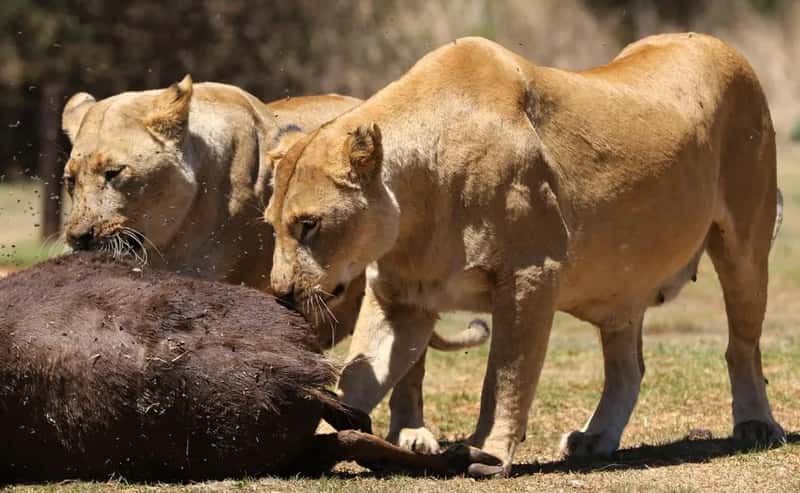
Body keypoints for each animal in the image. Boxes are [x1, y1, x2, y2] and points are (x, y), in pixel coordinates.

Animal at [266, 34, 785, 477]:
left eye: (309, 225)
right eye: (272, 225)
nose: (281, 293)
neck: (415, 205)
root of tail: (720, 44)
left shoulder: (530, 275)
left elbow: (506, 376)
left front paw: (490, 452)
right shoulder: (402, 300)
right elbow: (361, 371)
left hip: (746, 246)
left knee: (742, 346)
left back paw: (756, 424)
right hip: (623, 283)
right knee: (628, 368)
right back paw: (595, 437)